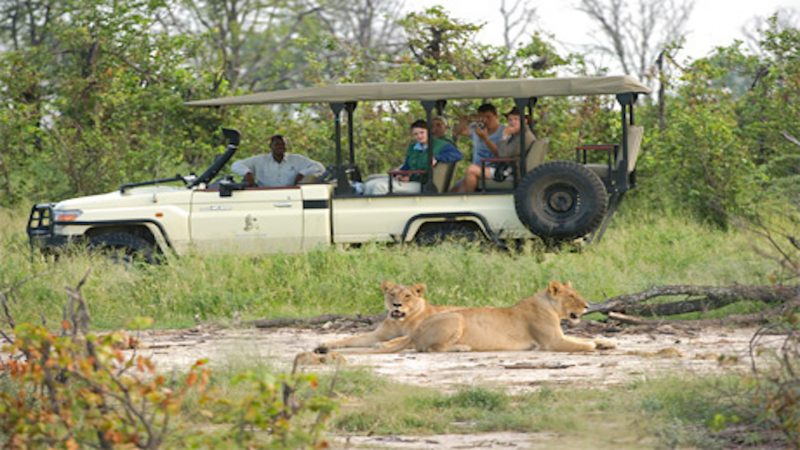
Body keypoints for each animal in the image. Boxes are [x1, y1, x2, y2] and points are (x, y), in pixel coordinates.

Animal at [316, 280, 460, 354]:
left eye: (407, 296)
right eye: (392, 294)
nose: (397, 304)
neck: (400, 322)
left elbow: (400, 338)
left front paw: (382, 344)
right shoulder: (375, 335)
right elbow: (351, 339)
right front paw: (327, 344)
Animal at [374, 282, 612, 352]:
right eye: (571, 296)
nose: (587, 306)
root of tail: (415, 332)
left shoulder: (559, 337)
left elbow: (581, 338)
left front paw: (607, 342)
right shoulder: (552, 342)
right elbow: (582, 344)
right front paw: (593, 345)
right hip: (456, 318)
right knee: (432, 349)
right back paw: (461, 348)